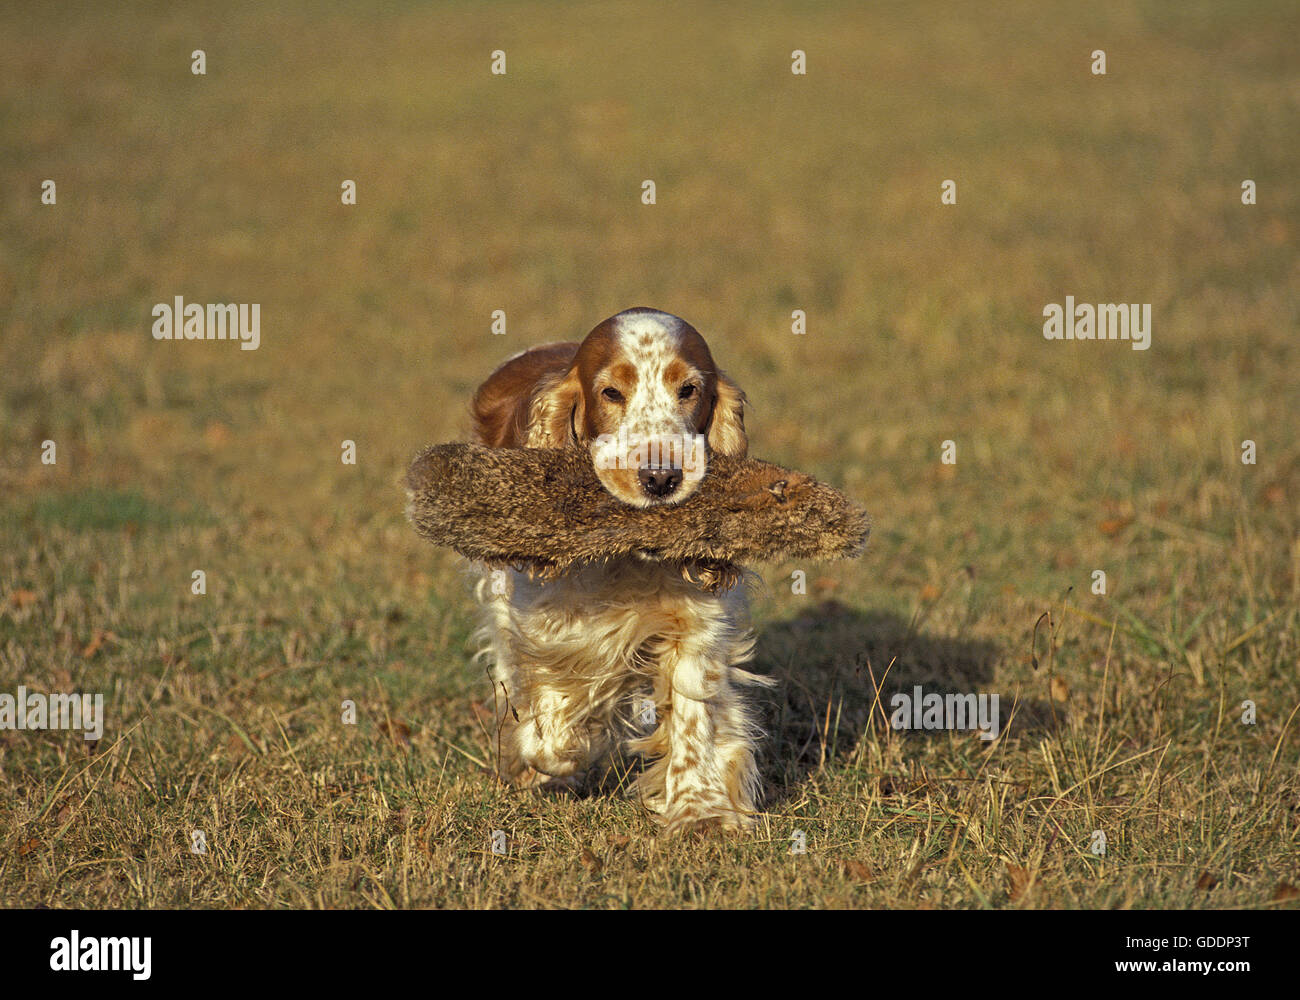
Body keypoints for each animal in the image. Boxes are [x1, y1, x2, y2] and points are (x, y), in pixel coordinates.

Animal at [467, 308, 769, 832]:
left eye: (689, 389)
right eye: (610, 393)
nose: (661, 477)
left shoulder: (696, 625)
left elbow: (694, 718)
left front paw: (700, 813)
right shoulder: (543, 624)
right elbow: (552, 729)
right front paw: (557, 753)